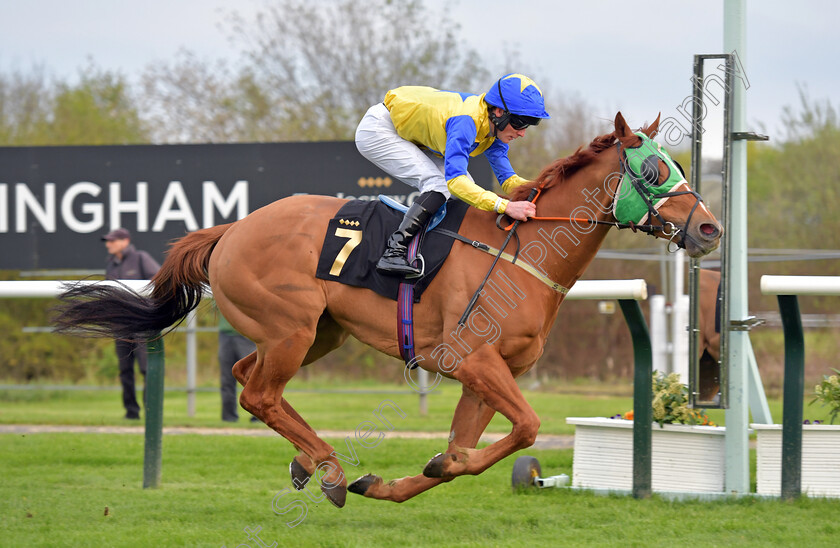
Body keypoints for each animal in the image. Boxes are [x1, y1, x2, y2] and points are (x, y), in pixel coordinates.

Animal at [54, 111, 720, 506]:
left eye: (682, 165)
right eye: (654, 169)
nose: (710, 229)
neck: (520, 251)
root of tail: (233, 228)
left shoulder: (489, 374)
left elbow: (466, 453)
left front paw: (403, 475)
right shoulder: (470, 359)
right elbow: (527, 427)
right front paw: (413, 466)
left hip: (318, 334)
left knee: (248, 380)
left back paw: (307, 462)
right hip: (292, 330)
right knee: (258, 394)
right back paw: (325, 467)